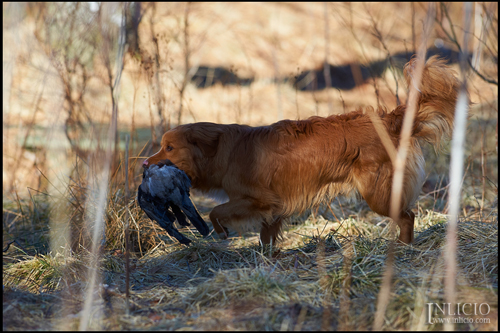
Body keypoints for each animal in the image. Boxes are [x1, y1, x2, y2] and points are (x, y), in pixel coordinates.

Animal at [143, 56, 458, 244]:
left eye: (169, 148)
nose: (145, 164)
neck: (223, 151)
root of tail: (390, 120)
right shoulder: (273, 208)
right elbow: (265, 237)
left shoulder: (258, 199)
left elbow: (216, 212)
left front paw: (221, 233)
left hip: (378, 194)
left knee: (407, 216)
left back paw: (402, 247)